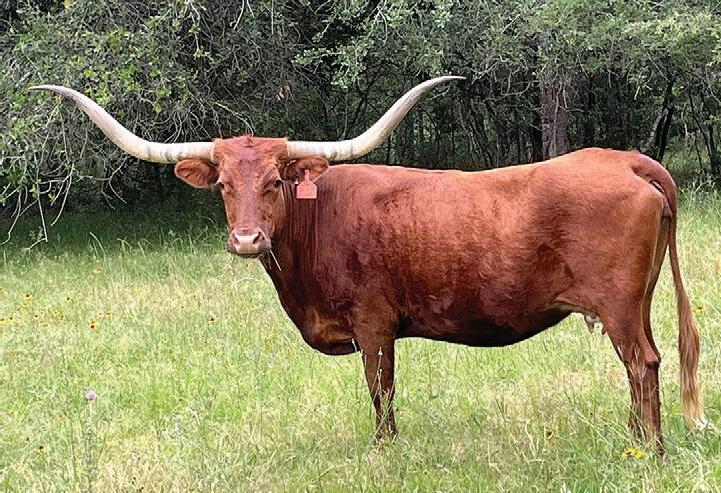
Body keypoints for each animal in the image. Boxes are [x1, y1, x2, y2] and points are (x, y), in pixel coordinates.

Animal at [31, 77, 706, 451]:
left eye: (276, 181)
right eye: (223, 184)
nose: (246, 239)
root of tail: (628, 159)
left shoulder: (373, 322)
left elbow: (379, 389)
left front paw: (384, 449)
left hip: (620, 305)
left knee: (644, 364)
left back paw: (649, 450)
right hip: (634, 303)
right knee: (640, 367)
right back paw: (635, 439)